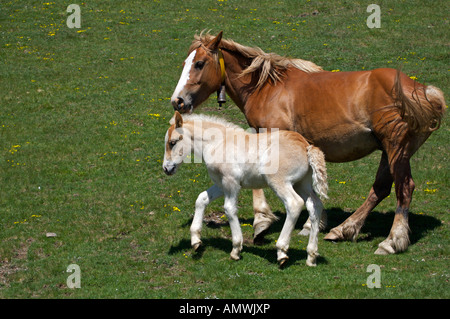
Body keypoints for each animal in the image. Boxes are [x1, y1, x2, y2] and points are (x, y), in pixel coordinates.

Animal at [171, 31, 444, 256]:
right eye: (184, 63)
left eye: (199, 63)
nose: (178, 101)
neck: (267, 87)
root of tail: (422, 90)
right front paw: (313, 223)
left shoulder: (270, 135)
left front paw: (262, 222)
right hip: (390, 151)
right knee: (381, 188)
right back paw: (344, 229)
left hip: (396, 148)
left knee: (404, 188)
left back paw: (391, 241)